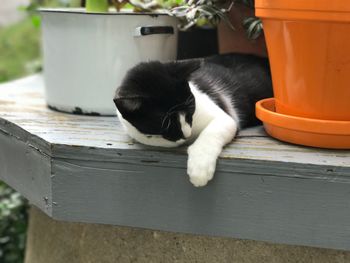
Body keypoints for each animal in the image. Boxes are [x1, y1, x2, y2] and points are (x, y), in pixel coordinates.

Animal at [113, 52, 272, 188]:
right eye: (166, 123)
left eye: (191, 107)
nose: (187, 133)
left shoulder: (225, 117)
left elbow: (212, 132)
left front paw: (200, 168)